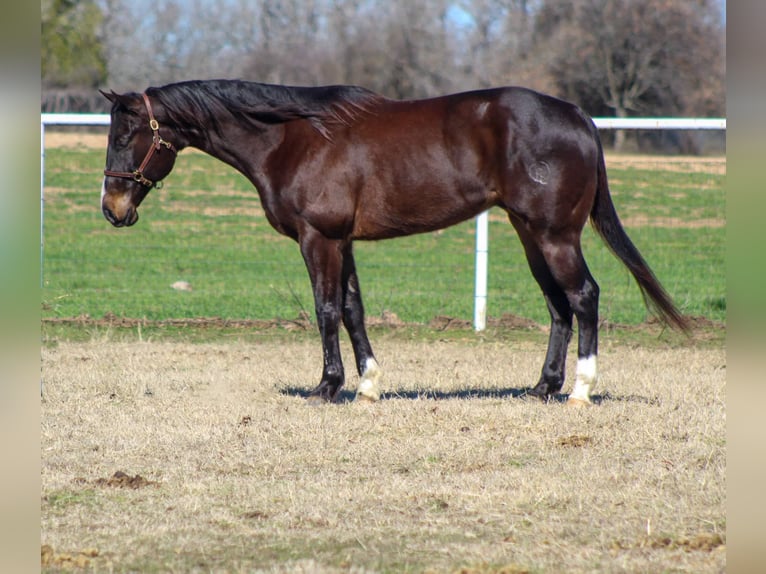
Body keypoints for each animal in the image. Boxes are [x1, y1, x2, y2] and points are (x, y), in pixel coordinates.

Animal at [97, 80, 688, 404]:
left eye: (127, 134)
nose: (112, 208)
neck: (294, 138)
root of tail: (579, 116)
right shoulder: (344, 242)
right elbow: (353, 309)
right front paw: (368, 385)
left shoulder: (319, 239)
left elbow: (326, 309)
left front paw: (327, 386)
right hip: (530, 233)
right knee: (557, 305)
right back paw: (543, 388)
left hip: (554, 234)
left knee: (583, 296)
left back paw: (581, 390)